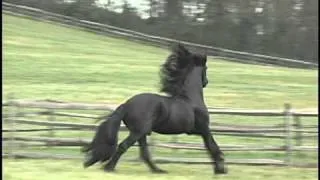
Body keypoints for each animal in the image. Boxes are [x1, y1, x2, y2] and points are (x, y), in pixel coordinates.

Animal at [82, 43, 228, 174]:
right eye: (206, 68)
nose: (206, 82)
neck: (191, 99)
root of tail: (126, 105)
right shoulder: (203, 129)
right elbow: (212, 146)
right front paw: (220, 169)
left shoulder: (197, 131)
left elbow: (210, 146)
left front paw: (219, 168)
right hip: (138, 132)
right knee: (124, 146)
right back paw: (109, 168)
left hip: (141, 133)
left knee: (144, 153)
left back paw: (158, 170)